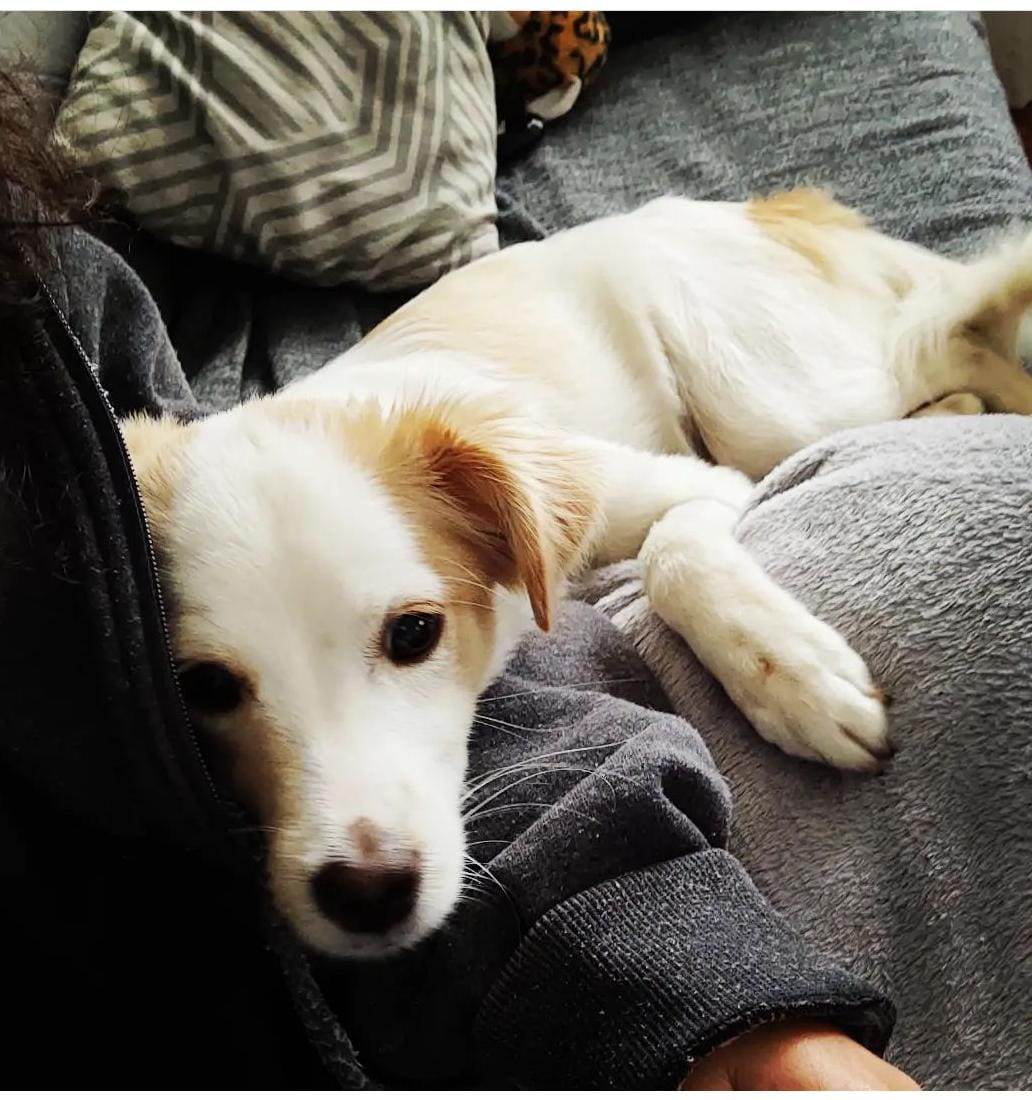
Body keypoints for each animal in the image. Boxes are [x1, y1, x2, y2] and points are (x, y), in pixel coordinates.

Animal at [122, 188, 1032, 958]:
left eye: (415, 633)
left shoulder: (702, 483)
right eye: (204, 688)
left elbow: (669, 554)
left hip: (776, 406)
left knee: (943, 336)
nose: (368, 894)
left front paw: (798, 680)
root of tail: (765, 205)